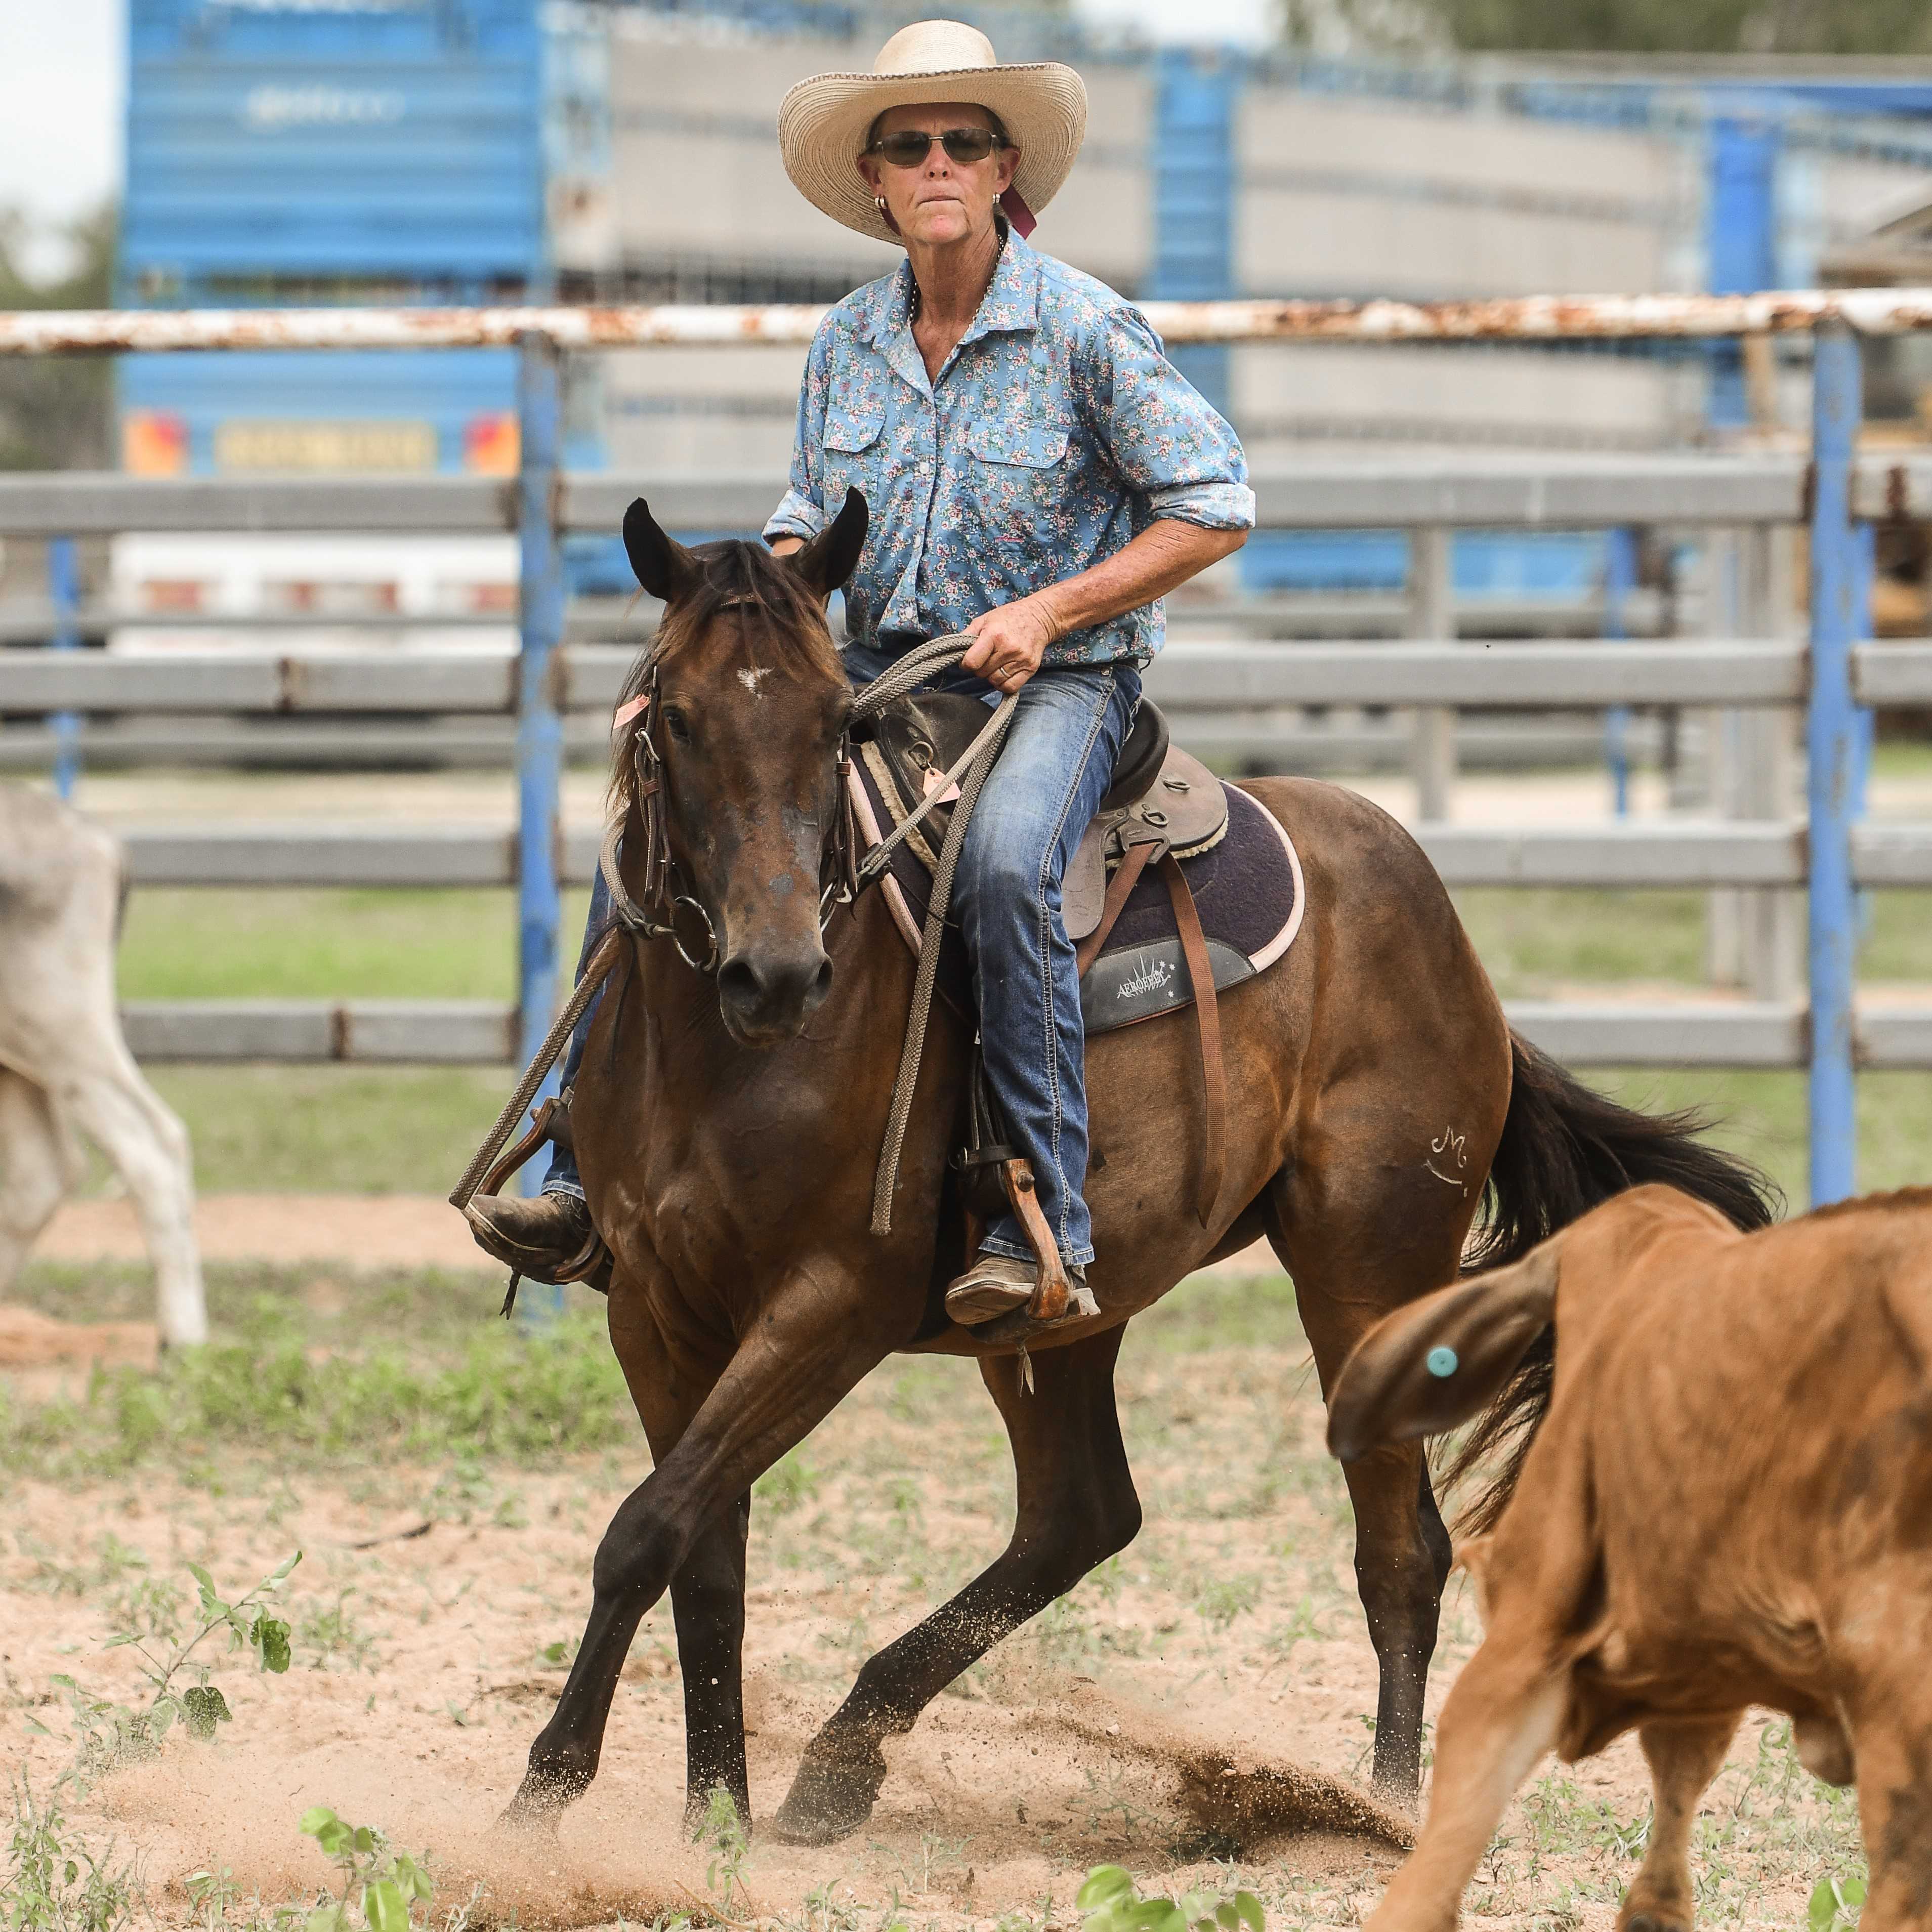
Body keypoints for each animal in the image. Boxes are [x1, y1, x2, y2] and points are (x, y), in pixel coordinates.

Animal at [502, 490, 1774, 1844]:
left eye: (832, 723)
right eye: (673, 717)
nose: (779, 972)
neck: (728, 1059)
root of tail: (1450, 940)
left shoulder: (835, 1303)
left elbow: (646, 1529)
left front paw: (542, 1799)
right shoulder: (656, 1307)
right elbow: (704, 1550)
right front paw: (713, 1819)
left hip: (1368, 1268)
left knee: (1400, 1545)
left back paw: (1376, 1808)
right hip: (1065, 1307)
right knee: (1079, 1515)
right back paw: (839, 1763)